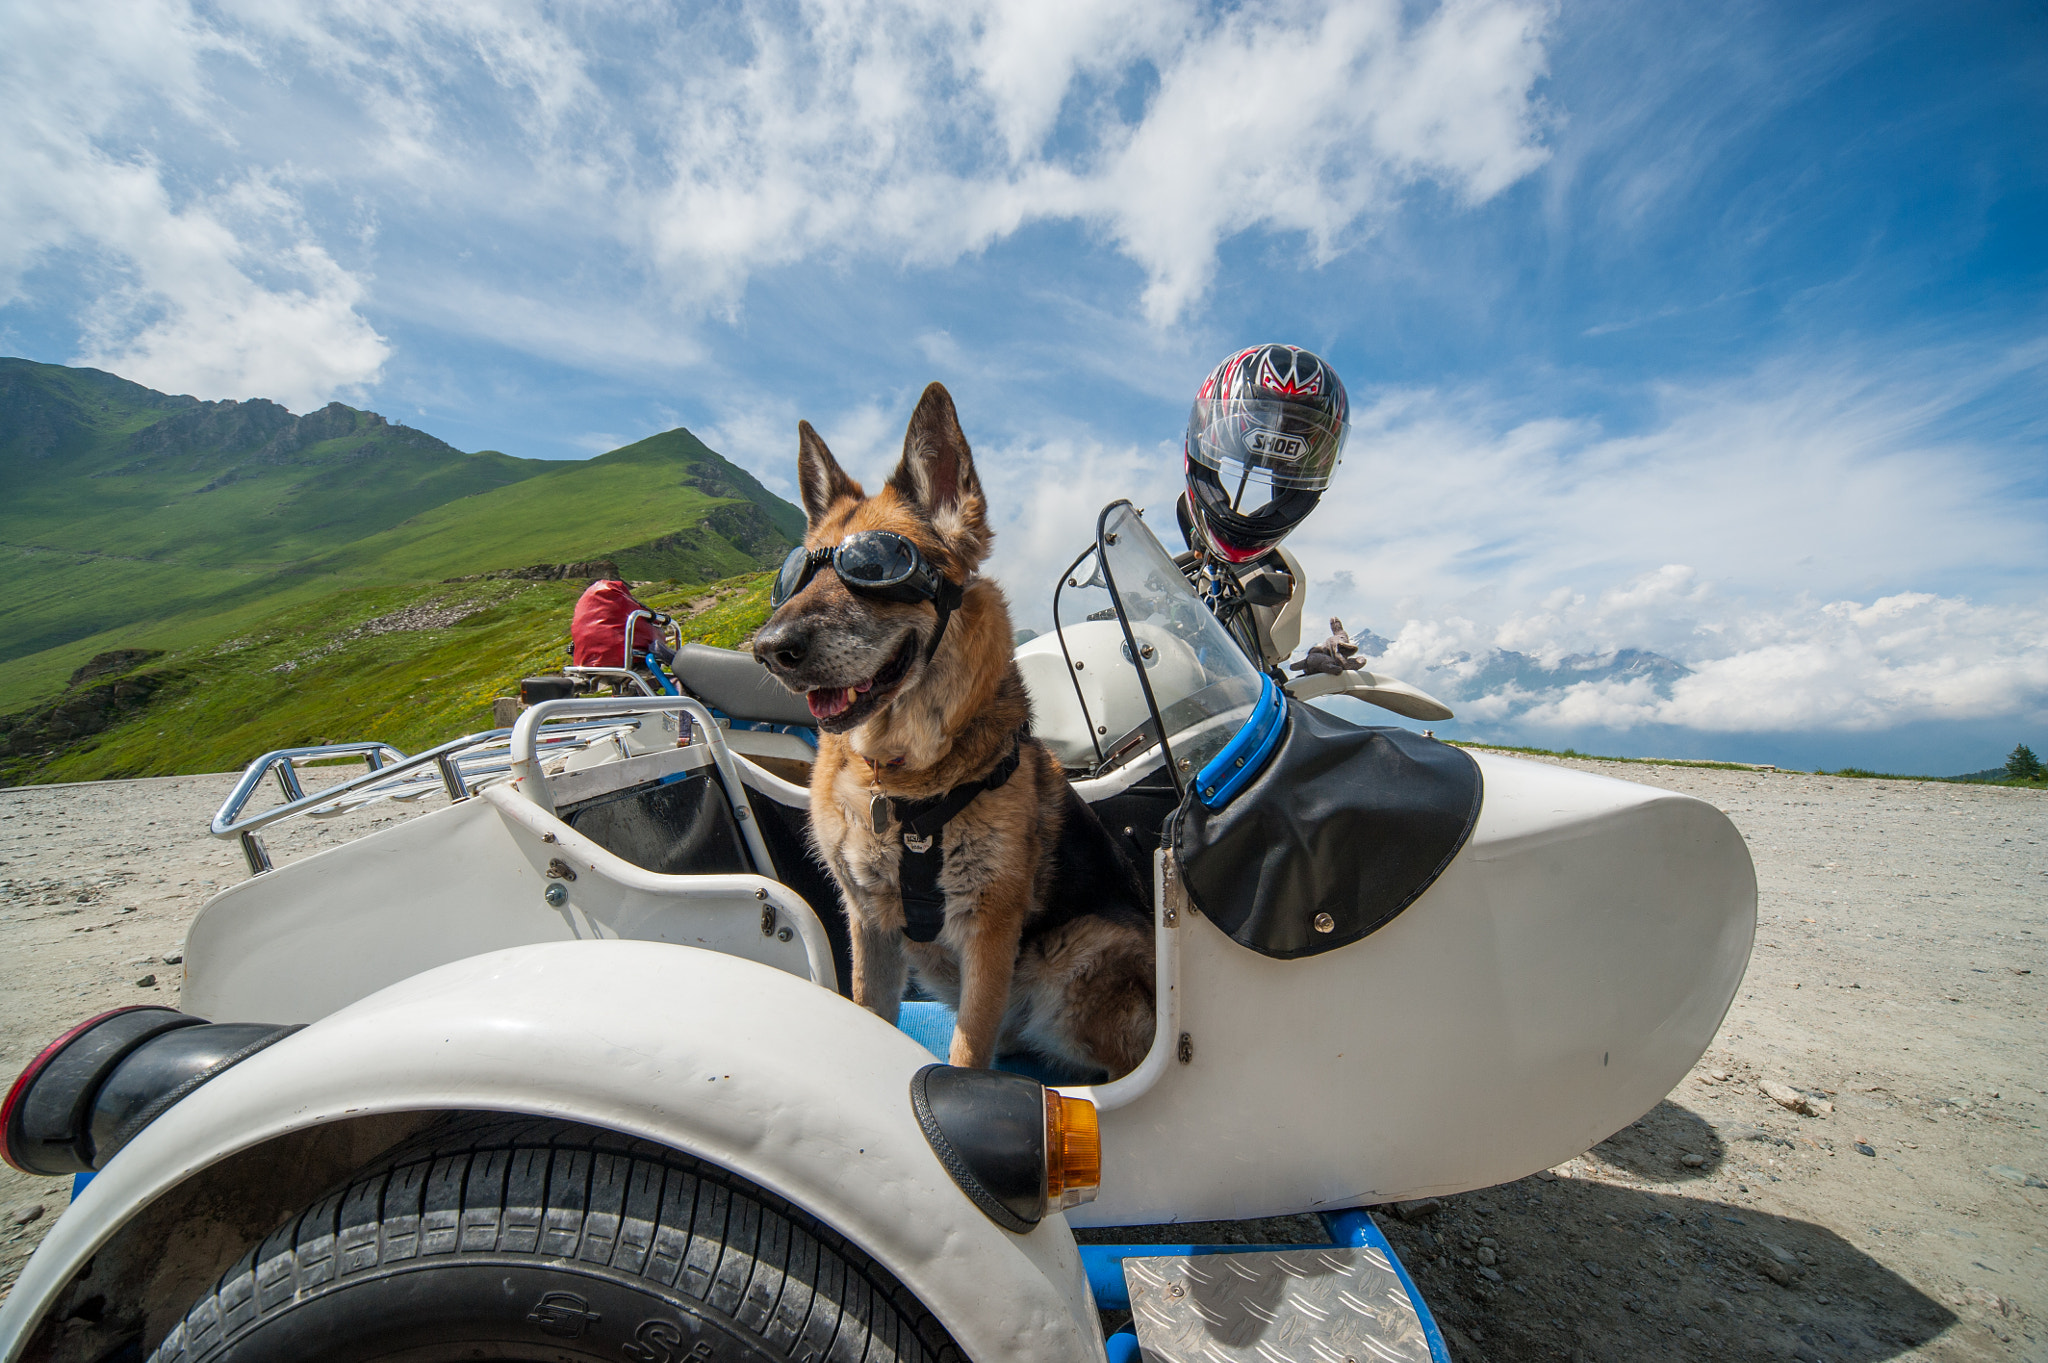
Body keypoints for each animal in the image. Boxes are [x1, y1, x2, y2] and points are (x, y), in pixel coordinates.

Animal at [761, 382, 1163, 1072]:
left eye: (874, 565)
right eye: (798, 575)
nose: (767, 648)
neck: (900, 781)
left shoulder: (988, 932)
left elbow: (969, 1054)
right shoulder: (869, 925)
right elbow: (869, 1013)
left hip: (1080, 953)